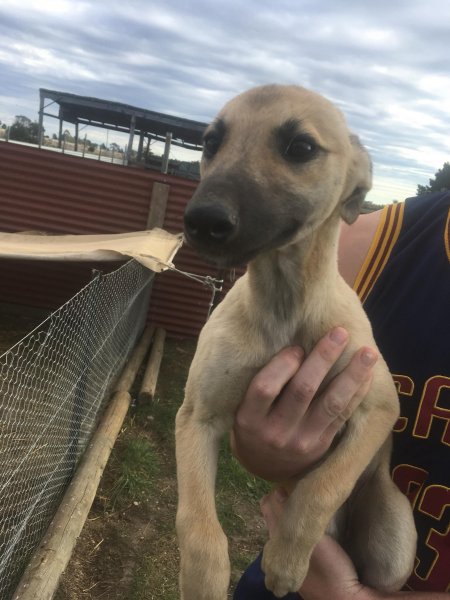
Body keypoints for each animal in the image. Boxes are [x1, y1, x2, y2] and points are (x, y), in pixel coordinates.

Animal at [174, 85, 416, 600]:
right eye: (210, 143)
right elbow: (197, 524)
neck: (285, 305)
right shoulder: (196, 417)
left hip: (395, 548)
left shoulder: (378, 407)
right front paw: (204, 579)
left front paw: (286, 559)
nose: (202, 220)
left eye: (301, 147)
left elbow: (322, 486)